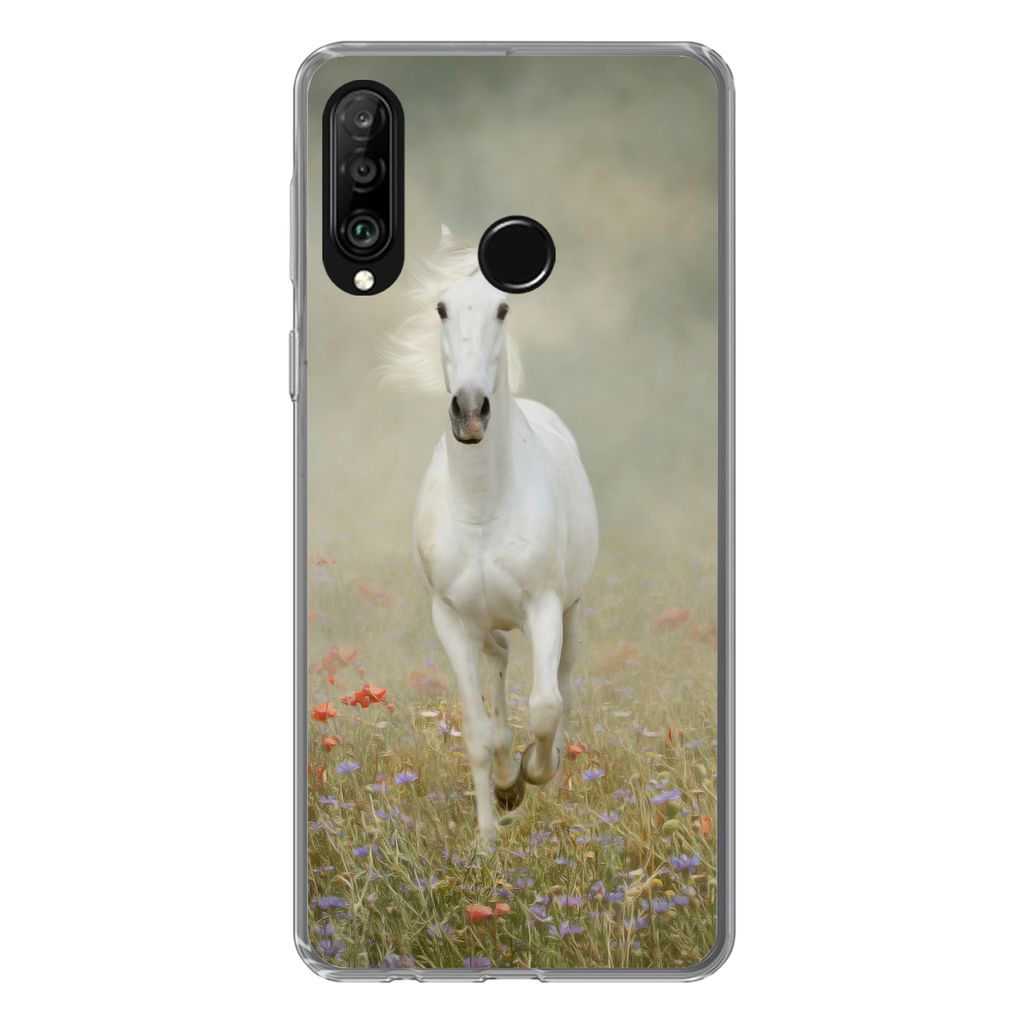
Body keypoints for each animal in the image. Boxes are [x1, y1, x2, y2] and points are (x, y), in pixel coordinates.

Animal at [380, 226, 599, 846]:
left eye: (503, 308)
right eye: (440, 307)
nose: (471, 410)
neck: (483, 509)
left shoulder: (545, 606)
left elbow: (547, 705)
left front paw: (531, 774)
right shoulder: (450, 621)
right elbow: (477, 734)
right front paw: (488, 830)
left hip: (571, 612)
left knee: (562, 684)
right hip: (482, 621)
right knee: (498, 660)